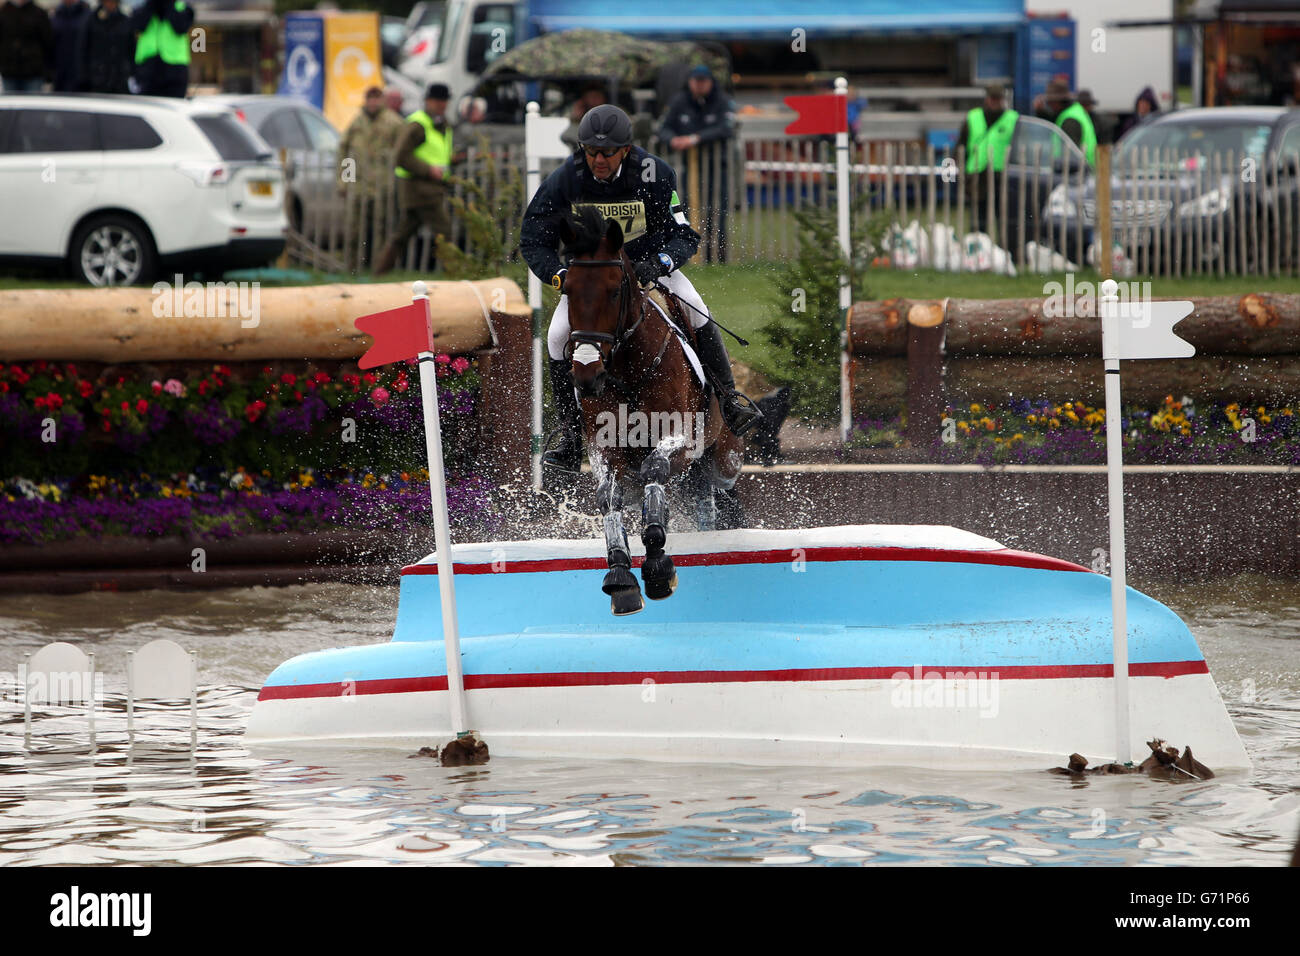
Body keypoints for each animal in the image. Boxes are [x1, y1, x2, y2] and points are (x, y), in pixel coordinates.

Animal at [556, 206, 744, 616]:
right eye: (567, 290)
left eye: (614, 290)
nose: (587, 375)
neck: (629, 369)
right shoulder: (604, 449)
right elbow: (609, 497)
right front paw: (621, 576)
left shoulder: (681, 438)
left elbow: (654, 470)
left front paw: (657, 564)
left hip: (723, 458)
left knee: (718, 486)